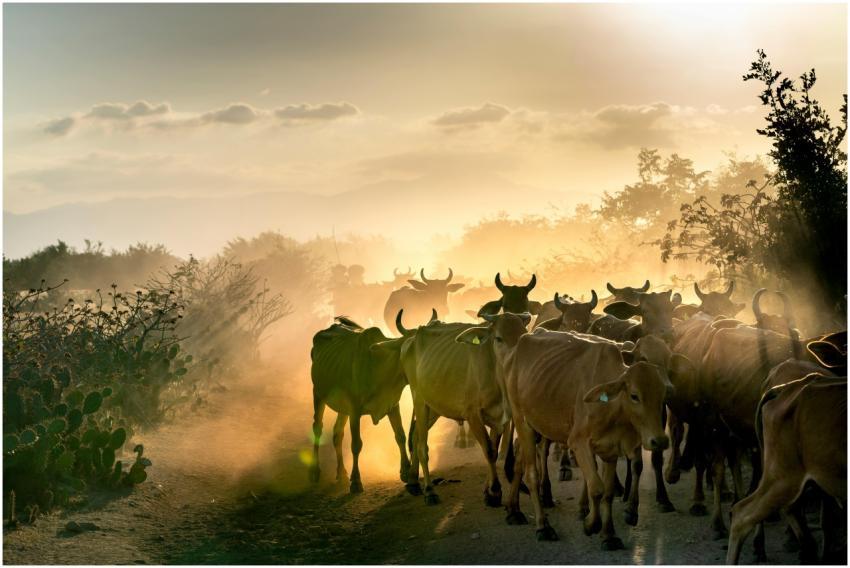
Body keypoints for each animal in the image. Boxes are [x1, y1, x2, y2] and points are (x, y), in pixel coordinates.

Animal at [309, 316, 410, 494]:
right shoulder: (355, 412)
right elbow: (356, 445)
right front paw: (356, 481)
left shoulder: (392, 405)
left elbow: (400, 436)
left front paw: (406, 472)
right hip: (318, 394)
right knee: (318, 428)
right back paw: (315, 472)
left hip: (342, 407)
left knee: (337, 433)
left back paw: (341, 473)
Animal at [457, 321, 670, 548]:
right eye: (634, 396)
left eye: (662, 395)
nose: (659, 440)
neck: (612, 407)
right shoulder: (578, 442)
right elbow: (597, 488)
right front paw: (591, 524)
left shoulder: (611, 448)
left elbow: (608, 492)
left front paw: (609, 534)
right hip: (522, 422)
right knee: (531, 474)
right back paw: (543, 525)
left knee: (519, 463)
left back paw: (513, 509)